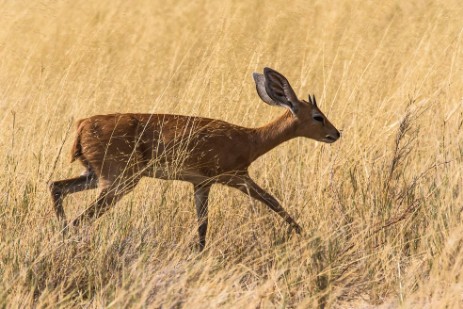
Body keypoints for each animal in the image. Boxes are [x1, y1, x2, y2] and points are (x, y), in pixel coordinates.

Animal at [49, 68, 340, 250]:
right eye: (318, 116)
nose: (336, 134)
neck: (250, 139)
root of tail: (82, 124)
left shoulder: (201, 184)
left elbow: (202, 227)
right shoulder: (236, 177)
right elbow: (273, 202)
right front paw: (307, 236)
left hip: (94, 175)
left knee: (56, 187)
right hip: (117, 182)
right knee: (79, 219)